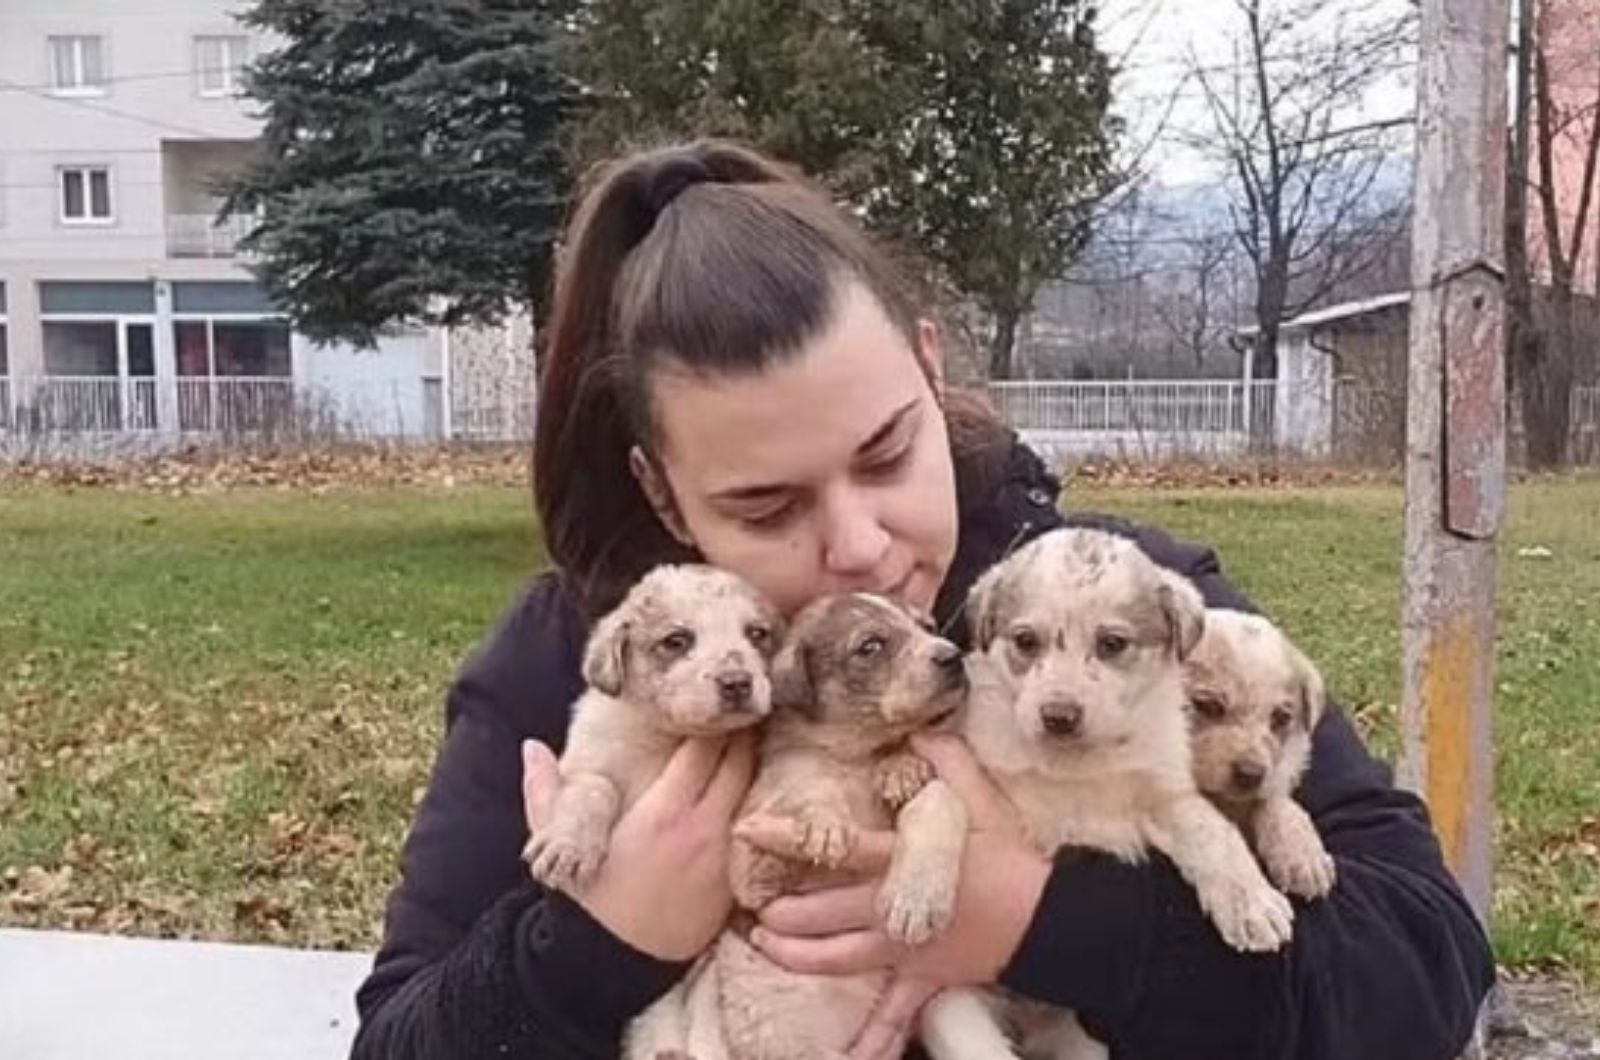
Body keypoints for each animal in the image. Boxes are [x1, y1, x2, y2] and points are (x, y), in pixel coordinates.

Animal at [521, 563, 777, 896]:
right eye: (676, 641)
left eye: (757, 634)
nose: (737, 683)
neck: (665, 736)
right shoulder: (586, 760)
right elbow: (594, 787)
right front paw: (568, 846)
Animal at [630, 592, 966, 1060]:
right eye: (871, 646)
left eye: (928, 625)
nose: (955, 657)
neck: (854, 757)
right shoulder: (750, 868)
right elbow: (805, 786)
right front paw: (824, 823)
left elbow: (938, 798)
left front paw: (916, 896)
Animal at [921, 528, 1292, 1060]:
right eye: (1026, 641)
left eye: (1112, 643)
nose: (1058, 716)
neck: (1076, 766)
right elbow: (938, 796)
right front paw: (918, 893)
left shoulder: (1163, 797)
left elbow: (1213, 833)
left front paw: (1252, 902)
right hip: (950, 1007)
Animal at [1190, 611, 1337, 903]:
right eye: (1208, 705)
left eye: (1281, 718)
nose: (1250, 774)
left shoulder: (1275, 771)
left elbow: (1277, 800)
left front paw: (1303, 855)